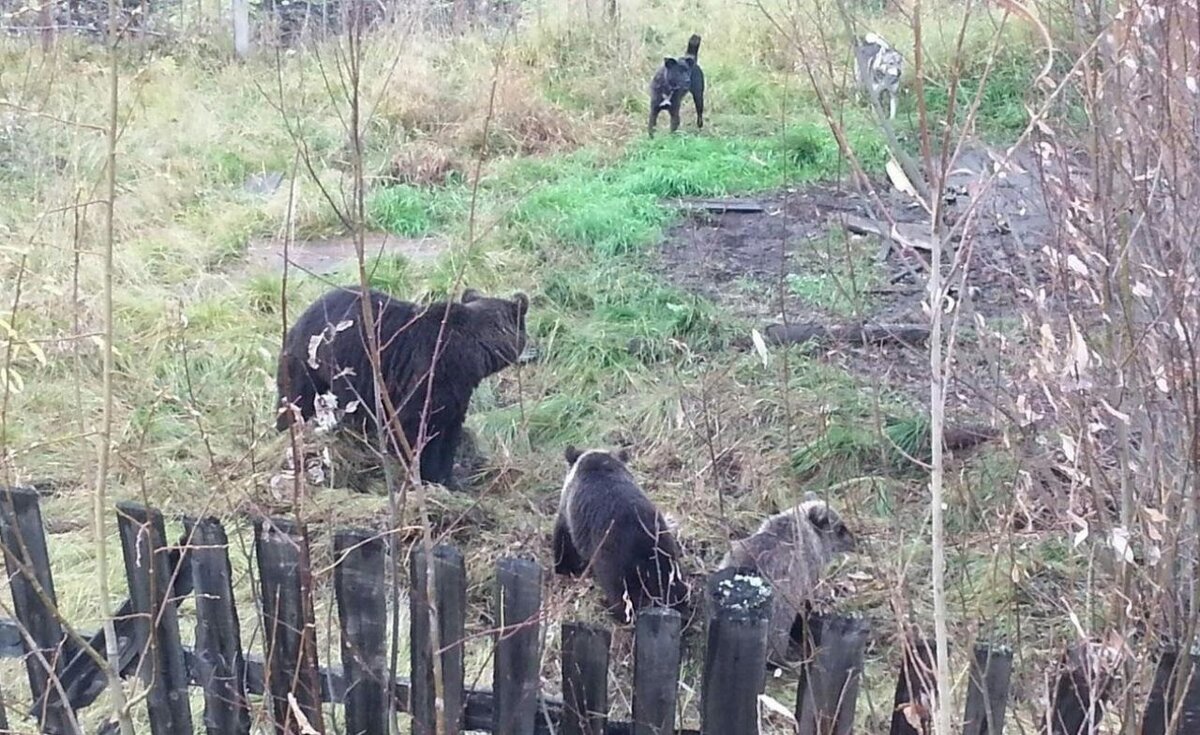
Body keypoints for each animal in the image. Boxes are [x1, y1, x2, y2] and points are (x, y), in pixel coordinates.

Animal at [278, 285, 532, 487]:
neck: (473, 355)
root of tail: (300, 317)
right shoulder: (430, 373)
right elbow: (414, 427)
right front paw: (425, 474)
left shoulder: (458, 392)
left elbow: (449, 431)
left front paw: (448, 478)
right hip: (308, 362)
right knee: (294, 401)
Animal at [549, 444, 691, 624]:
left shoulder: (569, 513)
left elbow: (564, 541)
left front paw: (563, 567)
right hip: (666, 553)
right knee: (674, 586)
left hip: (613, 559)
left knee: (621, 595)